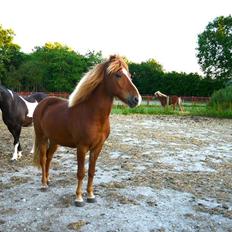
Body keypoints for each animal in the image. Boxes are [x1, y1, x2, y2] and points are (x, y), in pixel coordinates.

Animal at [32, 54, 141, 207]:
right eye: (118, 75)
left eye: (130, 76)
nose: (137, 99)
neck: (93, 115)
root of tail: (42, 103)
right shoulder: (82, 147)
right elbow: (81, 172)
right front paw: (78, 198)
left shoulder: (97, 147)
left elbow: (91, 171)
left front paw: (90, 195)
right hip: (41, 137)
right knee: (42, 158)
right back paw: (43, 185)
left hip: (54, 141)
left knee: (48, 157)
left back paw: (48, 180)